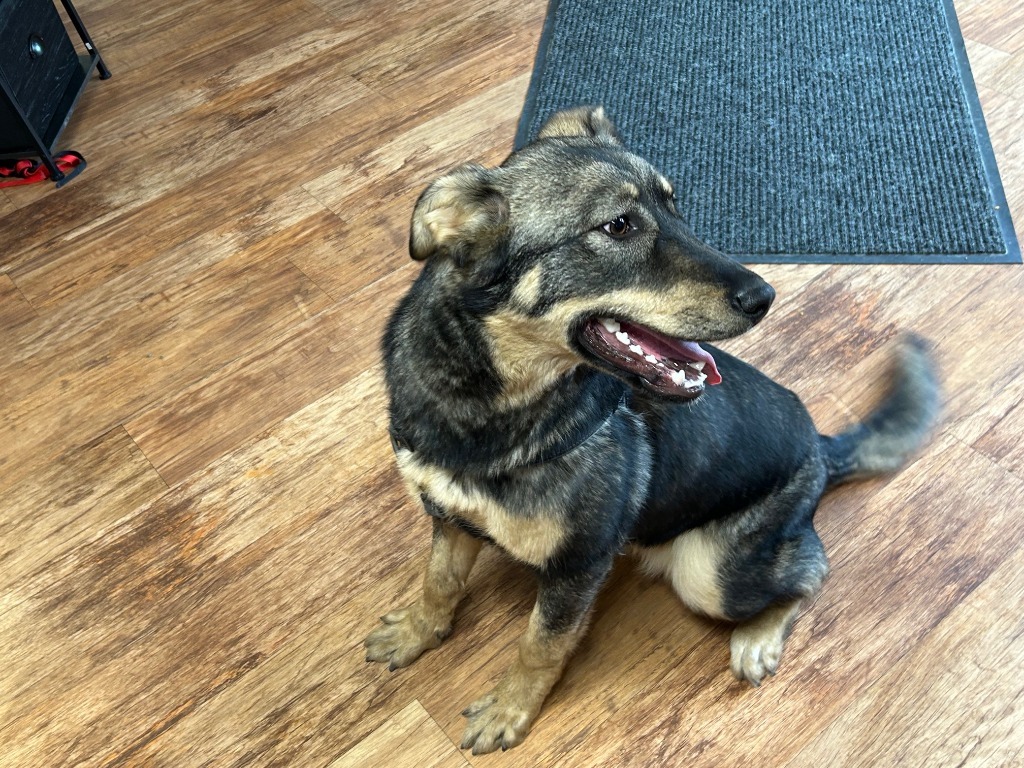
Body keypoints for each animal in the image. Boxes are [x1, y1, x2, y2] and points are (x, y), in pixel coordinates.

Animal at [364, 105, 937, 753]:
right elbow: (439, 580)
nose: (765, 295)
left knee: (811, 571)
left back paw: (758, 639)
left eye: (675, 206)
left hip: (708, 572)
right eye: (618, 226)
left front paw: (510, 710)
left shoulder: (577, 566)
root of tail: (820, 447)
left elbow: (540, 645)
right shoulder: (448, 516)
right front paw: (418, 632)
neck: (490, 400)